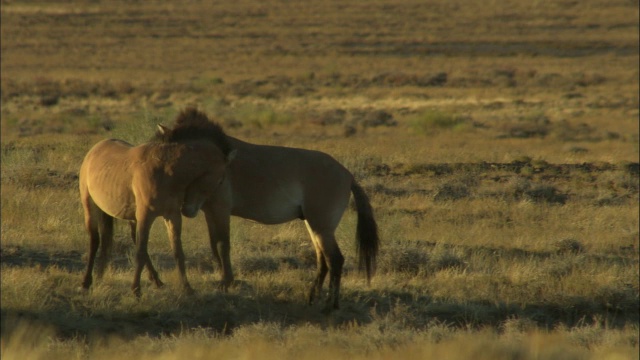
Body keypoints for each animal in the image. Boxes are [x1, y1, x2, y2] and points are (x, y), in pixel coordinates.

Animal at [80, 109, 235, 296]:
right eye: (220, 180)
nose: (189, 211)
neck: (165, 172)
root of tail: (94, 150)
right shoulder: (146, 215)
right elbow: (140, 252)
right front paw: (136, 290)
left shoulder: (172, 215)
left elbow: (177, 251)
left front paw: (187, 287)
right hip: (91, 207)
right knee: (95, 241)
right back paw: (86, 282)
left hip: (132, 216)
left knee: (133, 240)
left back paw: (156, 280)